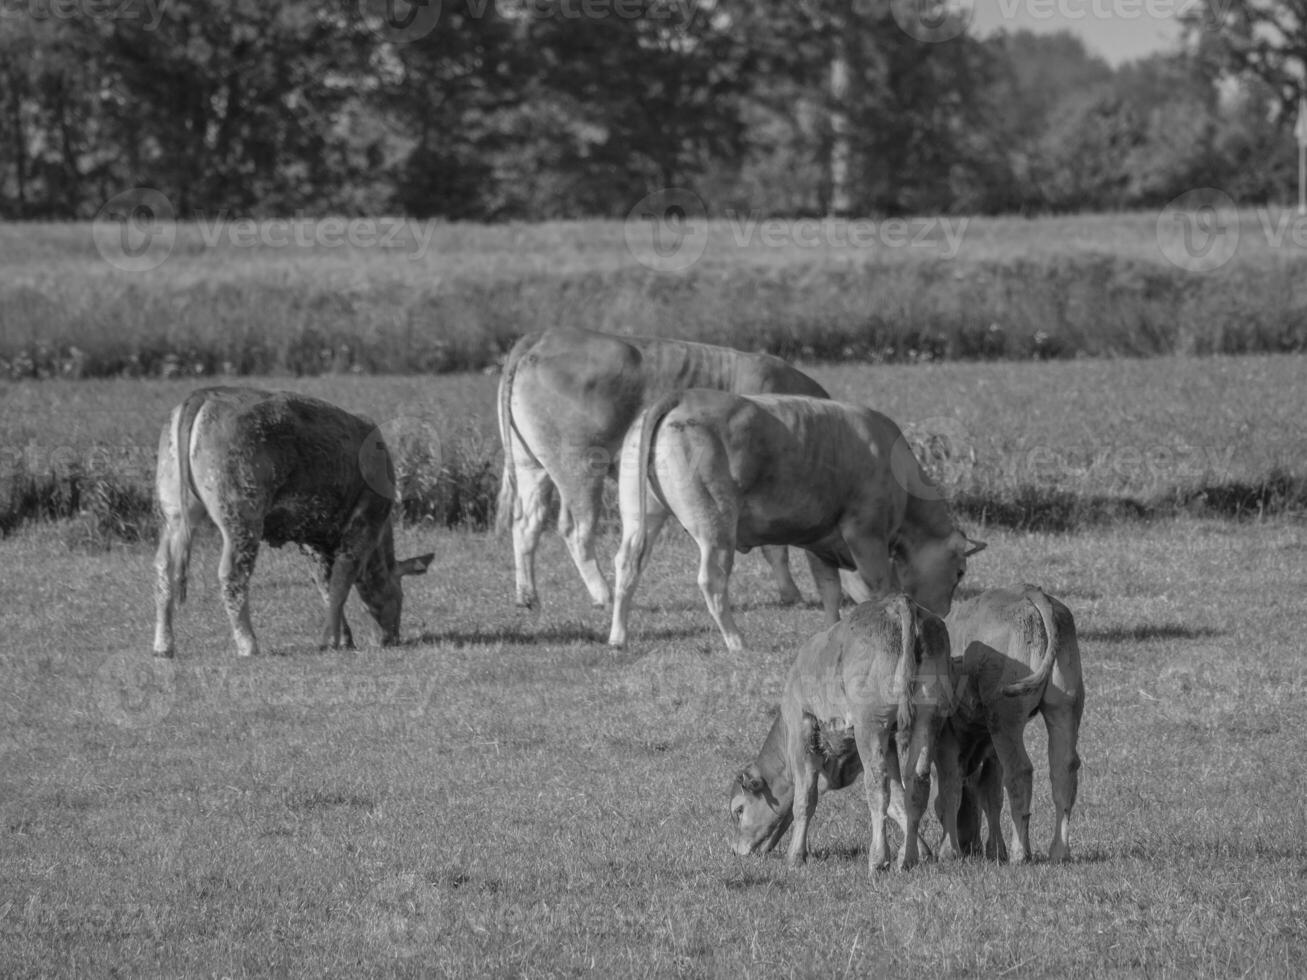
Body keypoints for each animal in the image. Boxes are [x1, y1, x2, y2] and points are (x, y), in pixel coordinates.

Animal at [148, 386, 433, 661]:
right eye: (400, 594)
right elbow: (341, 581)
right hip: (242, 516)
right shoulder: (364, 524)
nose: (392, 638)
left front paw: (342, 639)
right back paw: (248, 645)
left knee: (164, 568)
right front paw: (332, 640)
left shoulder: (313, 539)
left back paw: (163, 646)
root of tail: (205, 393)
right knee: (232, 574)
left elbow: (326, 586)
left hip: (173, 512)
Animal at [494, 327, 831, 614]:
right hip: (579, 466)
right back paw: (603, 595)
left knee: (527, 522)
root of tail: (544, 336)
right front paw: (792, 594)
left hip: (531, 464)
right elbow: (777, 548)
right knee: (575, 528)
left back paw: (528, 597)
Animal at [606, 389, 982, 653]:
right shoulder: (865, 533)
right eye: (960, 572)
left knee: (627, 564)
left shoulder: (820, 542)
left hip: (641, 515)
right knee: (711, 580)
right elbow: (879, 587)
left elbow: (829, 590)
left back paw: (618, 636)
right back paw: (736, 640)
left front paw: (832, 629)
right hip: (716, 525)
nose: (943, 613)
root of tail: (684, 394)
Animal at [935, 588, 1087, 862]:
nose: (969, 845)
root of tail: (1027, 592)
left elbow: (949, 790)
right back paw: (1059, 851)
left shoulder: (947, 739)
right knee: (1063, 770)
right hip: (1064, 709)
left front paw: (947, 852)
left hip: (1006, 720)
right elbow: (990, 793)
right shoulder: (990, 748)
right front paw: (994, 849)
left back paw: (1020, 852)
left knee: (1020, 771)